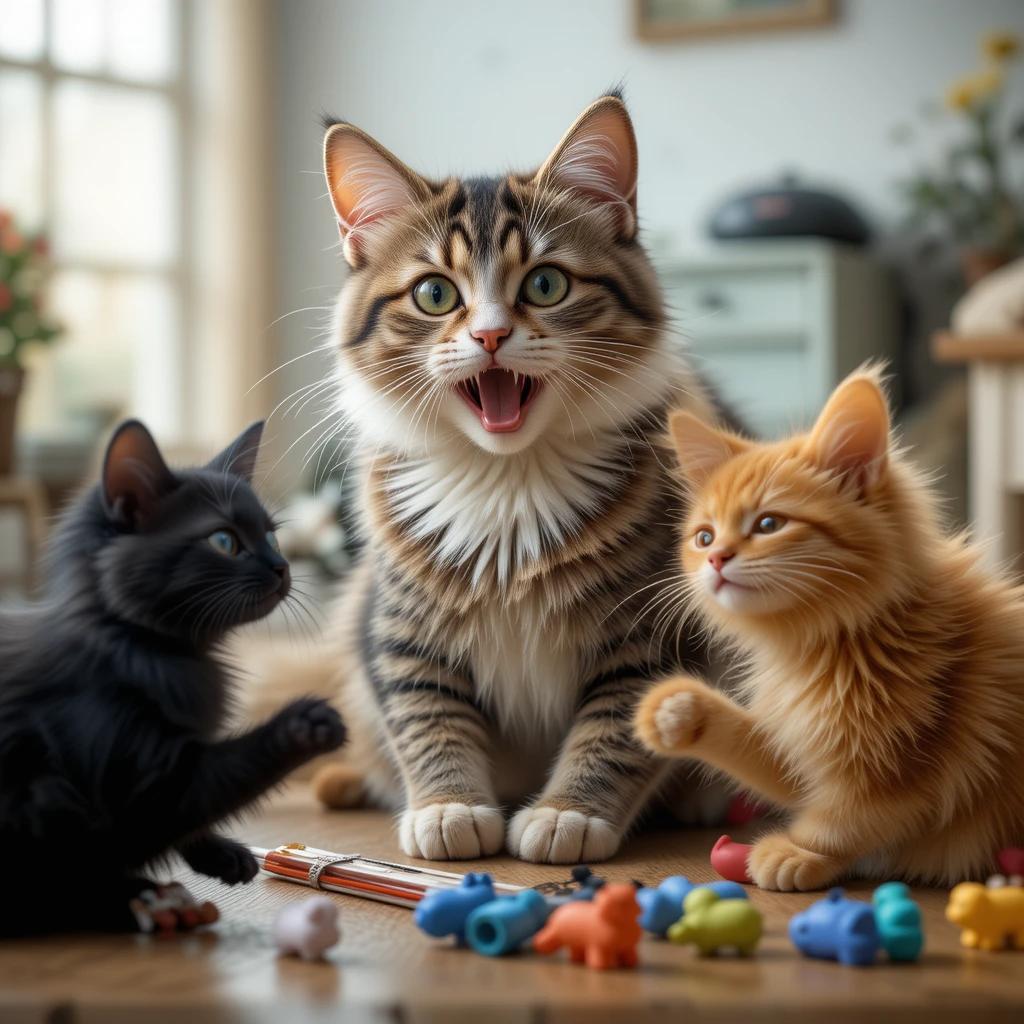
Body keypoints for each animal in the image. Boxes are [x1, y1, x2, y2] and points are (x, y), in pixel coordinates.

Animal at [0, 417, 348, 937]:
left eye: (271, 537)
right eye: (224, 541)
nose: (282, 567)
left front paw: (221, 853)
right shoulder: (132, 770)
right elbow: (216, 779)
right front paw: (307, 723)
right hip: (41, 794)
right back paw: (132, 902)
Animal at [307, 96, 716, 864]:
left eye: (546, 284)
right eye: (435, 294)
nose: (491, 336)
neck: (507, 481)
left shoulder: (652, 634)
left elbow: (616, 728)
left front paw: (567, 814)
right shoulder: (400, 624)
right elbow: (425, 714)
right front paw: (448, 805)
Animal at [630, 370, 1024, 888]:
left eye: (769, 523)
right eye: (704, 537)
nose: (716, 559)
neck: (824, 643)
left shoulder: (910, 758)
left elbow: (849, 818)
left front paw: (799, 852)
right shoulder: (803, 741)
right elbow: (768, 761)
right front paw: (677, 710)